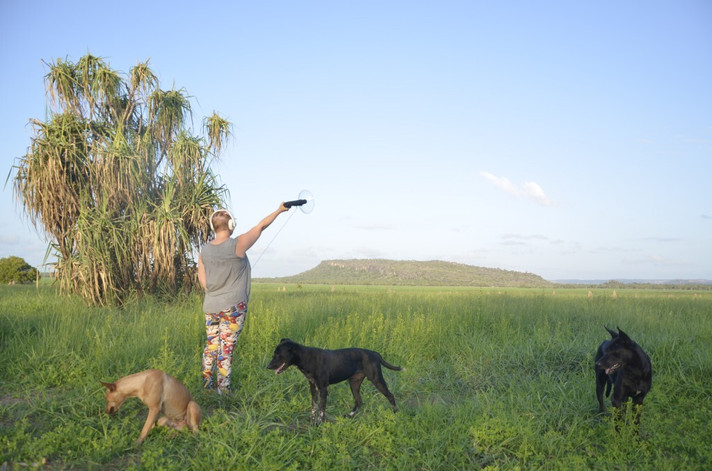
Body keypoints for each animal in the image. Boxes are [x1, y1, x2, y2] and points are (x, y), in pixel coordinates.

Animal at [268, 340, 400, 424]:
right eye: (274, 353)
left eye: (278, 355)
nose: (267, 366)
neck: (306, 358)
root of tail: (375, 353)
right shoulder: (313, 387)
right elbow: (314, 405)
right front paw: (312, 418)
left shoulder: (323, 388)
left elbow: (322, 408)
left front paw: (319, 422)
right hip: (354, 383)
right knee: (359, 401)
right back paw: (350, 415)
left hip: (376, 379)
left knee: (390, 395)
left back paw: (395, 413)